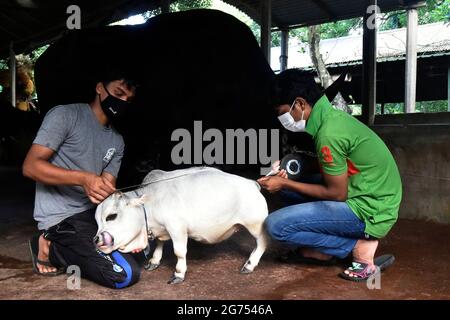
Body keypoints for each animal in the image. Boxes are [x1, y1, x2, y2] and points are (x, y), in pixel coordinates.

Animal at [94, 166, 268, 284]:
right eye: (96, 220)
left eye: (111, 216)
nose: (96, 239)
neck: (152, 202)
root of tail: (252, 183)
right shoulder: (162, 230)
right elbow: (159, 243)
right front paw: (154, 261)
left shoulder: (177, 228)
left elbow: (179, 252)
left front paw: (178, 273)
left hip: (256, 224)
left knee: (262, 243)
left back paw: (250, 265)